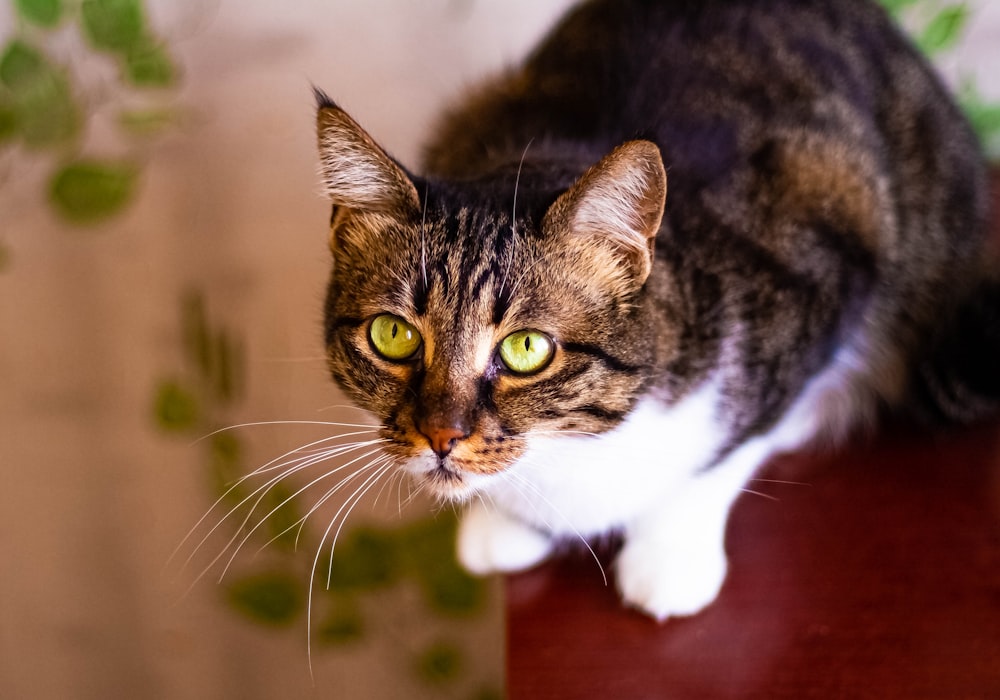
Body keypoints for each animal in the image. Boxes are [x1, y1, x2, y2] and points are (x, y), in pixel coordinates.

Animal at [314, 0, 1000, 624]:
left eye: (526, 348)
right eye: (393, 334)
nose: (441, 437)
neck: (577, 452)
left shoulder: (829, 247)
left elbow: (731, 446)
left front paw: (669, 556)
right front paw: (506, 522)